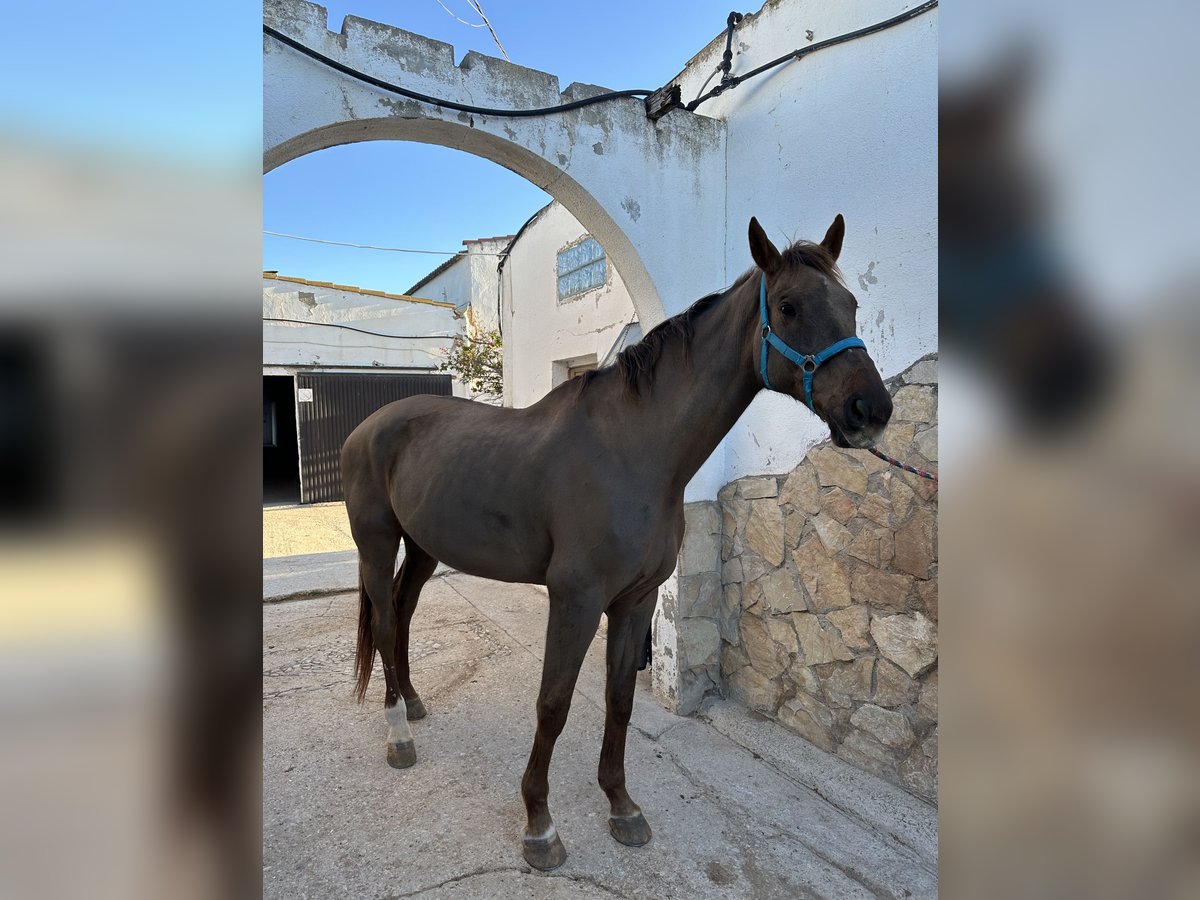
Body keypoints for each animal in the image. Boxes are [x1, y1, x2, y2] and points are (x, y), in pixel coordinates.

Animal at [338, 214, 892, 868]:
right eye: (787, 307)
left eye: (851, 304)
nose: (870, 410)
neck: (633, 450)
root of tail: (369, 426)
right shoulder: (575, 600)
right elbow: (553, 704)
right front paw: (539, 823)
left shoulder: (637, 600)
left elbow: (620, 700)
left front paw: (621, 806)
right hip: (377, 546)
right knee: (384, 620)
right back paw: (399, 736)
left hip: (425, 548)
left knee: (401, 613)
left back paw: (414, 703)